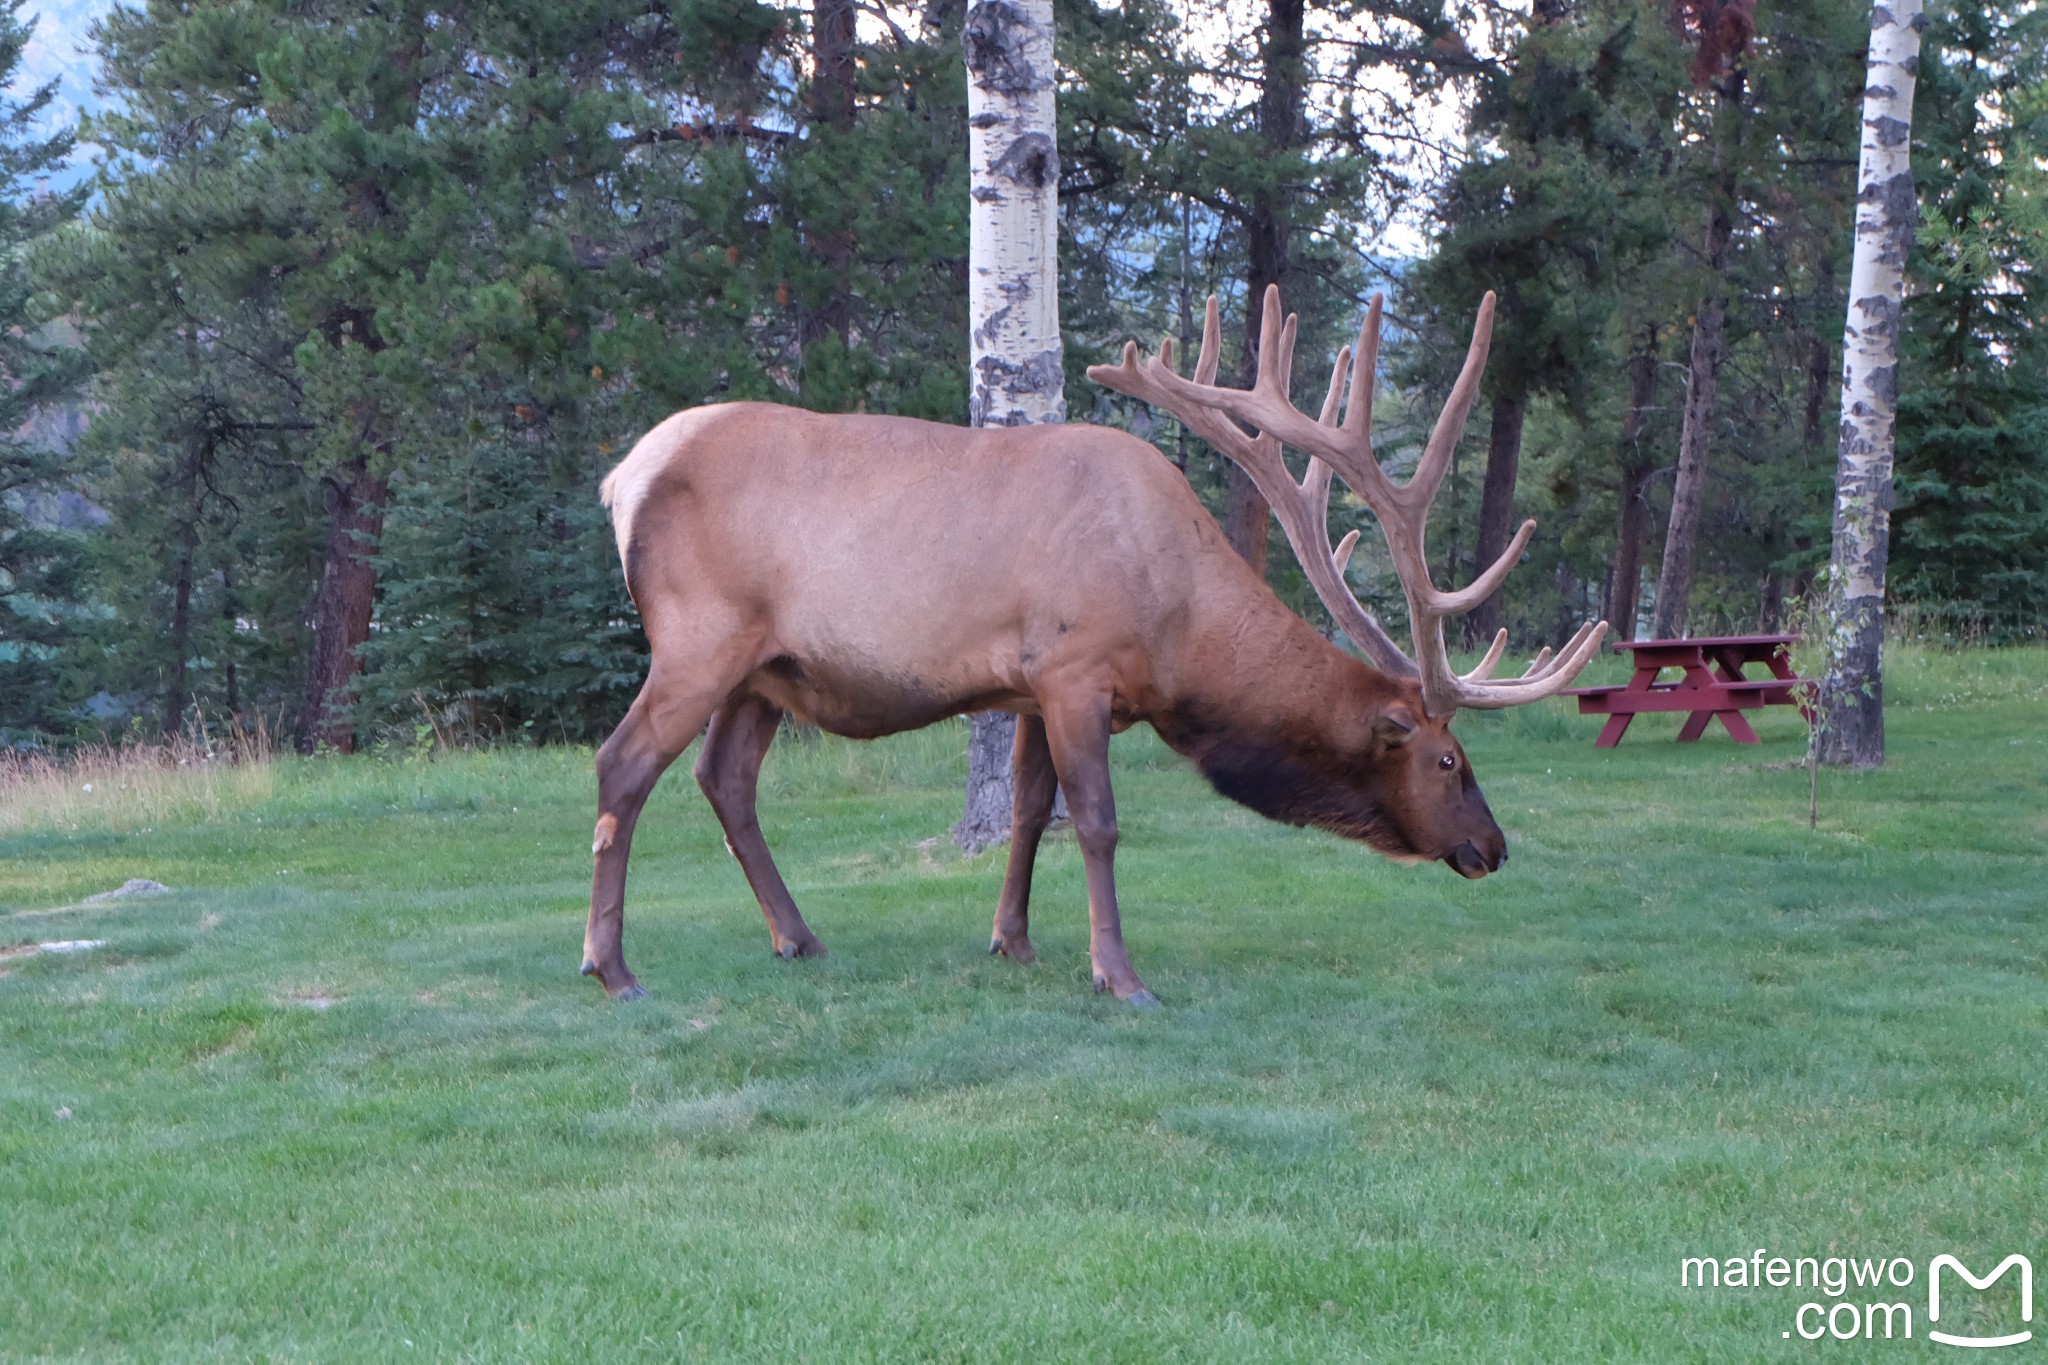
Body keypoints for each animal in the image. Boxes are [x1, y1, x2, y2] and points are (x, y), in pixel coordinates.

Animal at [585, 286, 1605, 1002]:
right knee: (622, 764)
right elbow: (1100, 823)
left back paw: (796, 936)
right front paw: (1118, 972)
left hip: (766, 671)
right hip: (699, 639)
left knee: (725, 778)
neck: (1181, 633)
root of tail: (620, 478)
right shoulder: (1078, 673)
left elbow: (1031, 811)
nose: (1493, 846)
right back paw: (613, 965)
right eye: (1448, 758)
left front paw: (1015, 939)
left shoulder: (1034, 685)